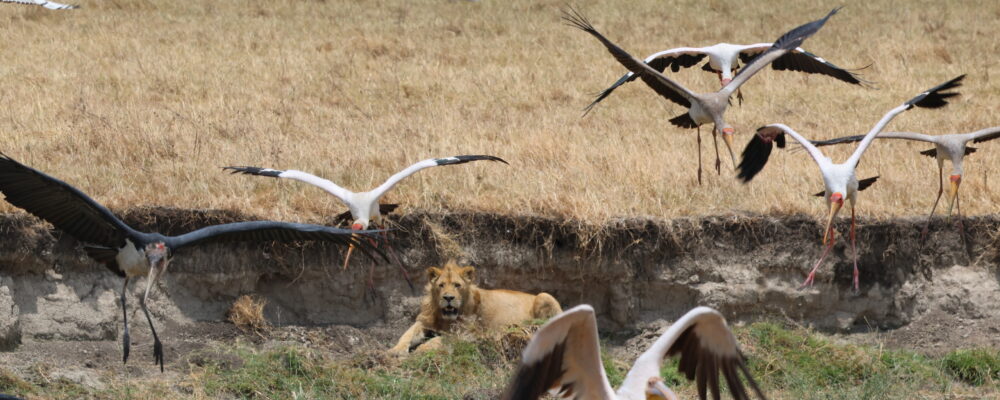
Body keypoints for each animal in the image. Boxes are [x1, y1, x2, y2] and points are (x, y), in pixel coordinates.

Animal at [388, 260, 562, 355]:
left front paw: (421, 349)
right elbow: (407, 334)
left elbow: (439, 339)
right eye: (441, 285)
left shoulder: (465, 333)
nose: (448, 298)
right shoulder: (424, 322)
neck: (444, 318)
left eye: (457, 285)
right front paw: (395, 351)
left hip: (544, 296)